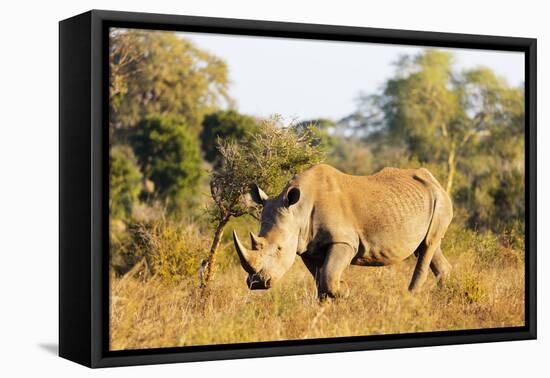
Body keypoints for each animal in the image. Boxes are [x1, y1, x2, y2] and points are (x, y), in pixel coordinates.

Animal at [233, 164, 452, 300]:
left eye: (279, 248)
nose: (257, 283)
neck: (298, 210)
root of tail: (435, 181)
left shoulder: (343, 241)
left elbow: (329, 276)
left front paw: (345, 290)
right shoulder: (307, 246)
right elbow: (320, 280)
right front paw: (325, 306)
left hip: (440, 199)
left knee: (428, 246)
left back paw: (410, 298)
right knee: (428, 247)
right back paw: (445, 294)